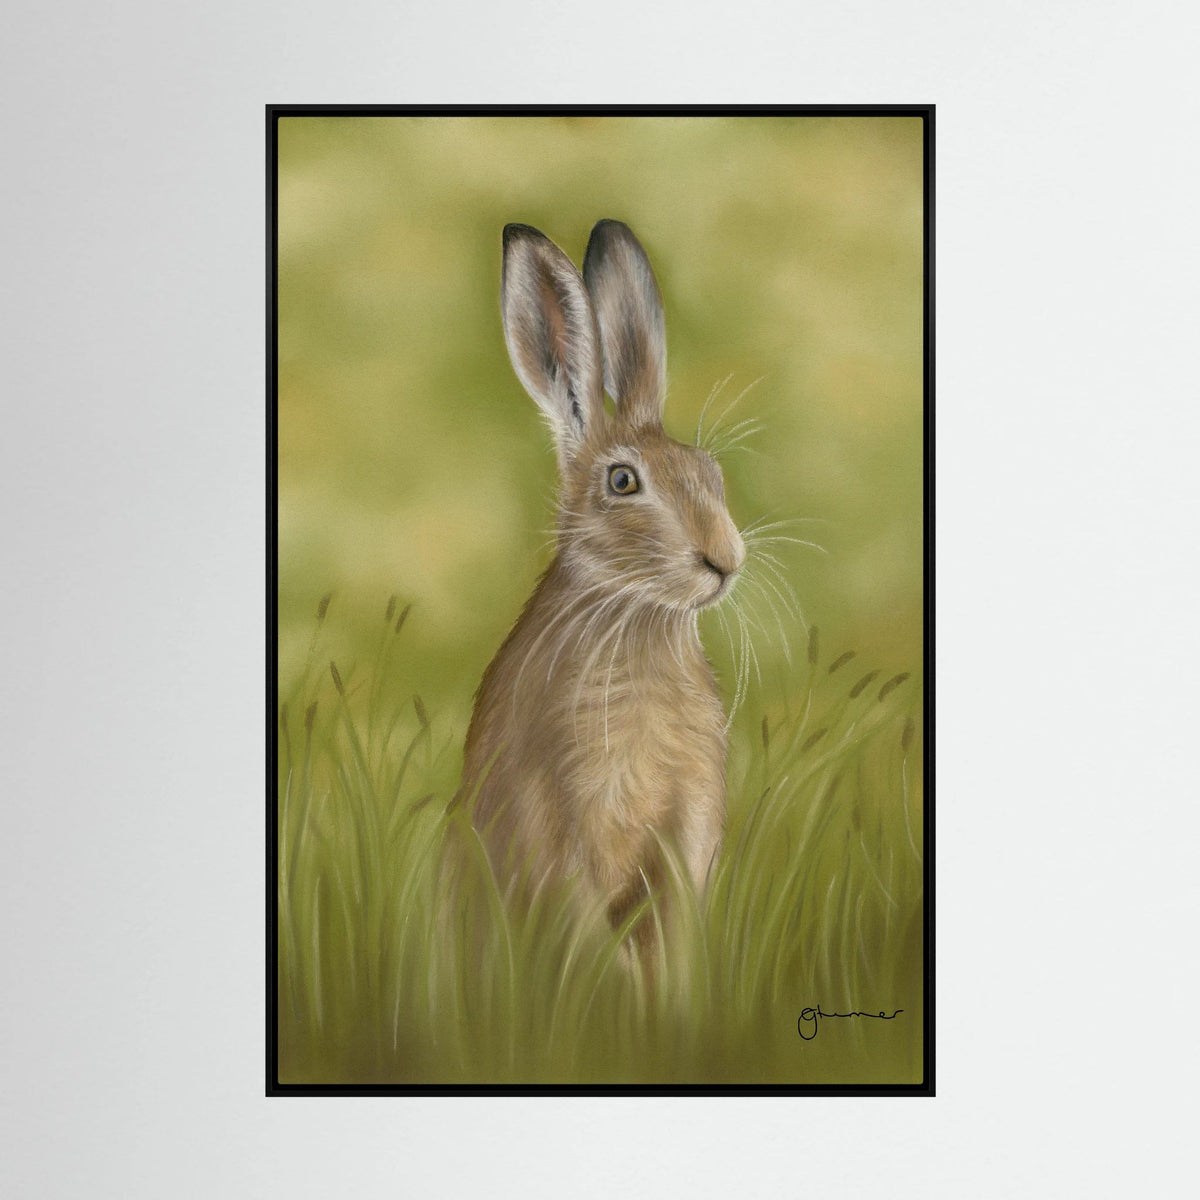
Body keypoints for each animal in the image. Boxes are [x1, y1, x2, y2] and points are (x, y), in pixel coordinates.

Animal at [458, 219, 745, 956]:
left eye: (709, 471)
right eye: (622, 482)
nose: (725, 558)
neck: (637, 619)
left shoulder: (687, 834)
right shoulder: (562, 828)